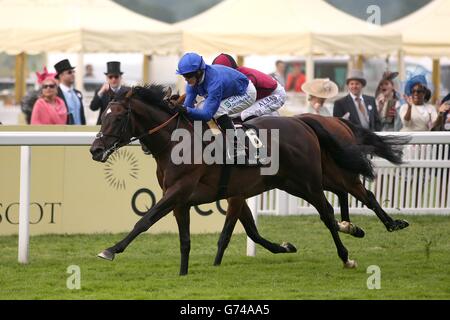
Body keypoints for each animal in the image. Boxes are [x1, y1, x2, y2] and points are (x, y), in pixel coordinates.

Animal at [89, 85, 406, 276]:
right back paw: (361, 227)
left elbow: (145, 220)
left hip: (309, 181)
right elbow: (189, 239)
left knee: (332, 210)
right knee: (347, 196)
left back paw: (349, 253)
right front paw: (183, 273)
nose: (95, 150)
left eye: (118, 118)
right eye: (102, 116)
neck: (176, 142)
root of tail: (301, 121)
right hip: (293, 182)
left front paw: (110, 250)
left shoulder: (182, 191)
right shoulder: (186, 199)